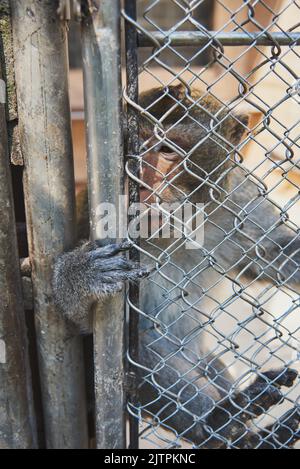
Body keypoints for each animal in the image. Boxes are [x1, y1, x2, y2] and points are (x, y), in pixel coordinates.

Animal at [52, 85, 300, 450]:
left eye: (167, 150)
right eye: (134, 148)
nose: (143, 185)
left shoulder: (236, 199)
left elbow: (274, 254)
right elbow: (87, 333)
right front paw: (81, 275)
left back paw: (256, 435)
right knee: (139, 355)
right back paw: (221, 423)